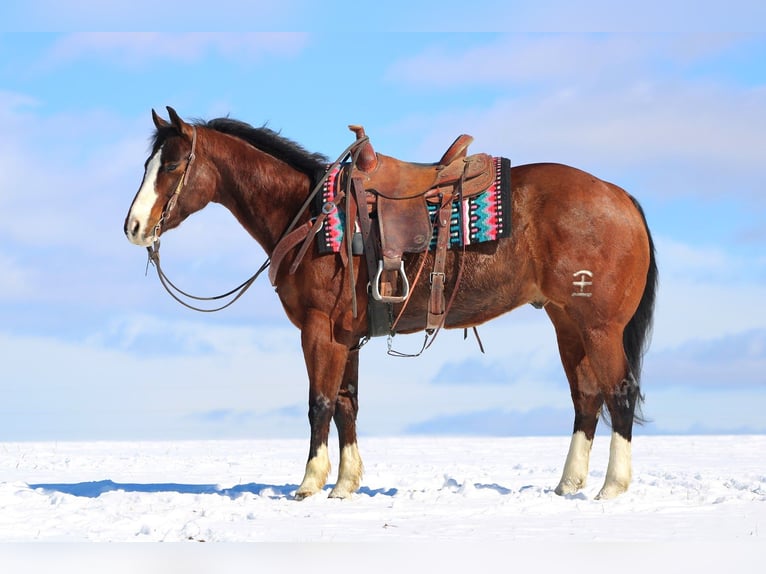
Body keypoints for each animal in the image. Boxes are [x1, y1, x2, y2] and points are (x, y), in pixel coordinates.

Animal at [124, 107, 657, 500]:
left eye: (171, 165)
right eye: (150, 164)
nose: (133, 227)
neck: (310, 215)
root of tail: (620, 196)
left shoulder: (318, 329)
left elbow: (319, 403)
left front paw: (309, 483)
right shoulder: (345, 335)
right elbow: (347, 404)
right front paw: (345, 484)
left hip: (599, 326)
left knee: (620, 391)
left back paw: (611, 487)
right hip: (567, 322)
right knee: (586, 397)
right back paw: (567, 484)